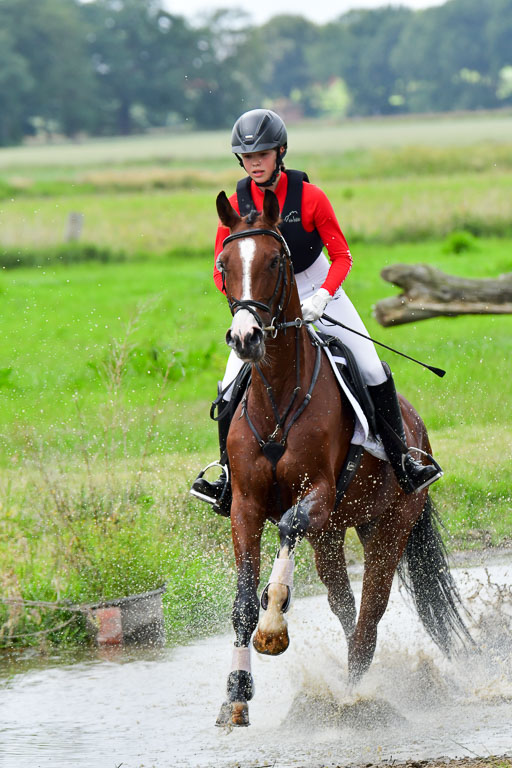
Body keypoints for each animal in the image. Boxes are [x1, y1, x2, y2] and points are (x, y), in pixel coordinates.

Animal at [213, 188, 469, 728]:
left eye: (275, 260)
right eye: (224, 264)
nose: (246, 338)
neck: (277, 396)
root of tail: (417, 428)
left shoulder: (318, 493)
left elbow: (287, 530)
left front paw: (274, 626)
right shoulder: (245, 505)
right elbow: (243, 602)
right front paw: (237, 694)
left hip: (389, 526)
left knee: (370, 612)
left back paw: (355, 697)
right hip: (334, 534)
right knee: (345, 607)